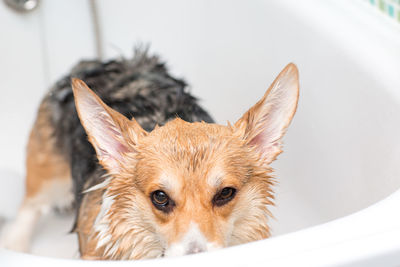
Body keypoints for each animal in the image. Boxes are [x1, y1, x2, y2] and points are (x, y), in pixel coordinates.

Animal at [1, 50, 298, 262]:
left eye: (225, 193)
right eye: (160, 197)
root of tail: (98, 61)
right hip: (50, 176)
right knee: (30, 205)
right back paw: (15, 243)